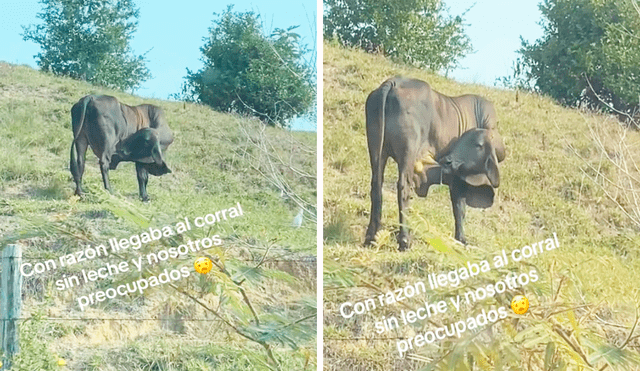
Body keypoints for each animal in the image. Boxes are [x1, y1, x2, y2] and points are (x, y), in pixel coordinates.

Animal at [364, 76, 504, 251]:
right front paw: (461, 239)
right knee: (403, 188)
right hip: (408, 153)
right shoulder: (458, 180)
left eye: (477, 144)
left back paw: (371, 237)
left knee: (376, 186)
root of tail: (393, 83)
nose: (448, 161)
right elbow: (459, 208)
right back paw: (405, 240)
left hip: (377, 150)